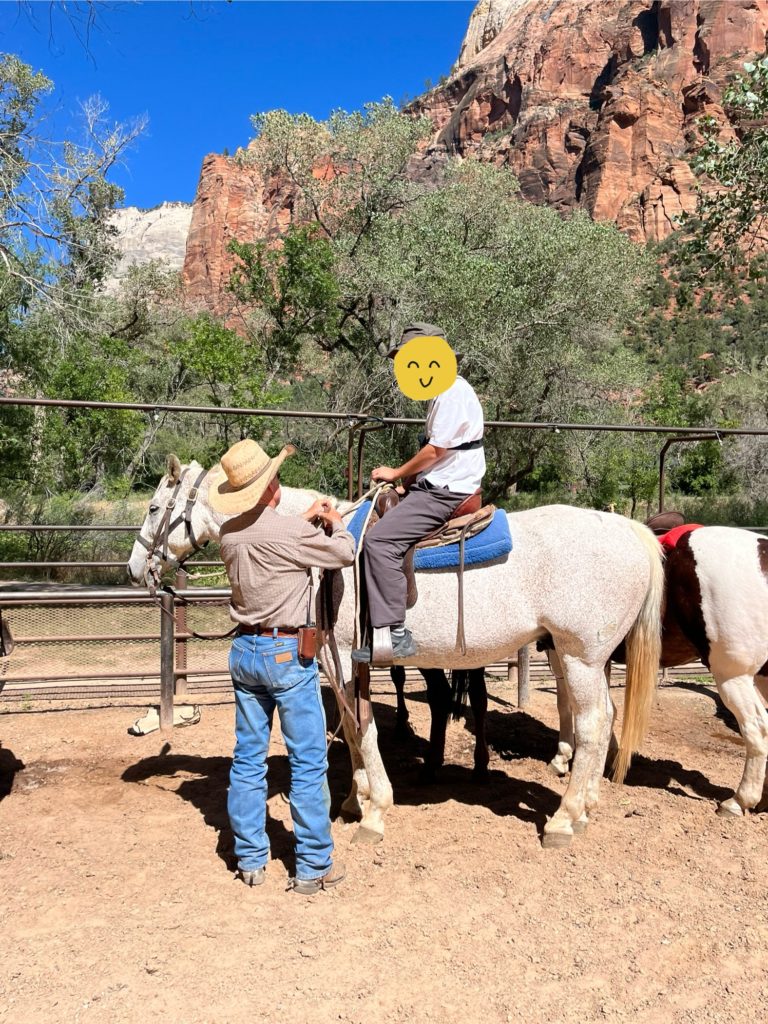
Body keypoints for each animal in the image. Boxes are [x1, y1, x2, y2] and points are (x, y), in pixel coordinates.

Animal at [127, 456, 664, 847]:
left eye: (154, 508)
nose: (135, 569)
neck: (316, 547)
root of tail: (629, 530)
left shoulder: (344, 658)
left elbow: (361, 729)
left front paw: (374, 810)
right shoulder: (343, 663)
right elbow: (352, 727)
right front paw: (353, 800)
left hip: (578, 656)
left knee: (592, 725)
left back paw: (563, 819)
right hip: (590, 661)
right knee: (607, 717)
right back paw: (587, 804)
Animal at [549, 526, 768, 817]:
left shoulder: (565, 651)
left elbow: (566, 704)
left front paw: (562, 757)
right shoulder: (594, 658)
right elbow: (605, 710)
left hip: (734, 676)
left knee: (757, 728)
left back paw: (739, 801)